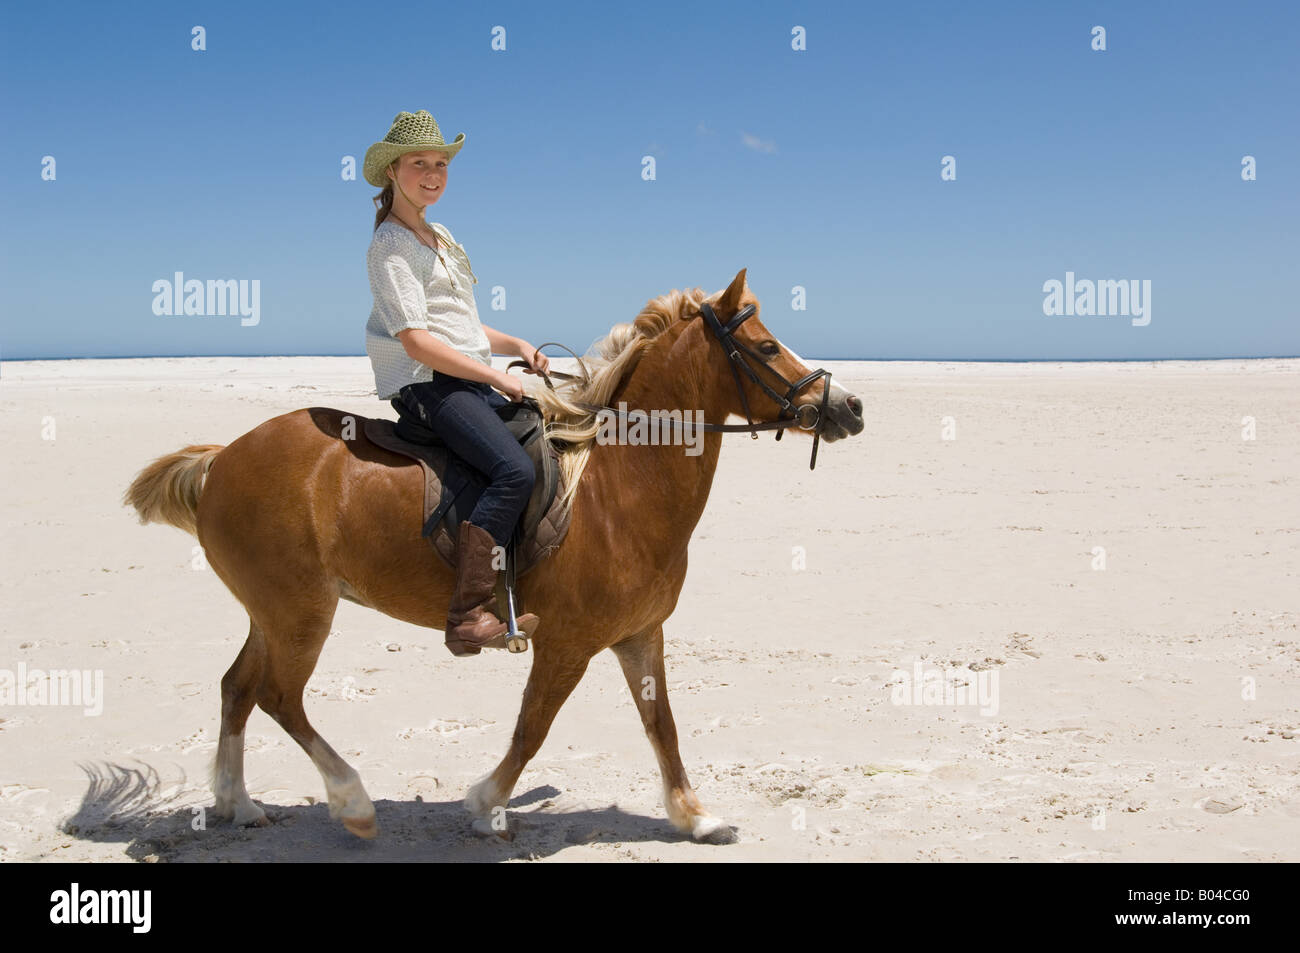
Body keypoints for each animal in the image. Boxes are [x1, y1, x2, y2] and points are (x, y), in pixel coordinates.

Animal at [124, 267, 863, 842]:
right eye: (766, 345)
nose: (849, 406)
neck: (619, 486)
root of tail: (222, 457)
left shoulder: (640, 634)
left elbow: (663, 726)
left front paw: (697, 816)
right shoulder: (567, 642)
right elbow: (533, 727)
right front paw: (485, 806)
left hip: (273, 612)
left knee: (237, 687)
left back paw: (239, 804)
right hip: (300, 613)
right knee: (279, 696)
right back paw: (353, 804)